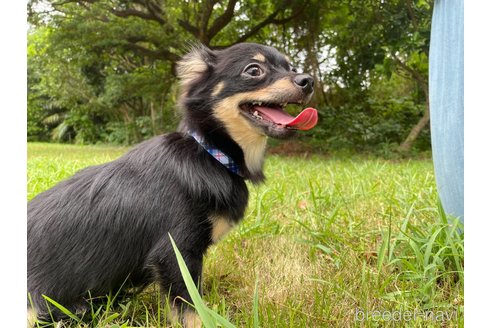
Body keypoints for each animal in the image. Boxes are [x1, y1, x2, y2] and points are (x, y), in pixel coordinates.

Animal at [27, 42, 320, 326]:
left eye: (290, 67)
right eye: (254, 70)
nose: (309, 80)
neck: (210, 153)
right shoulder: (175, 252)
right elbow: (189, 308)